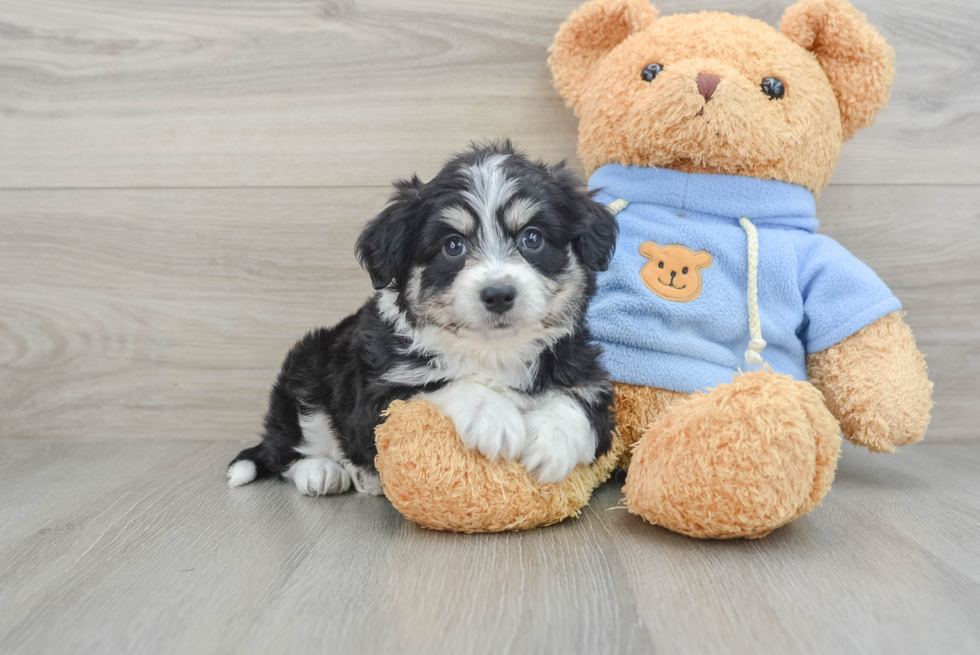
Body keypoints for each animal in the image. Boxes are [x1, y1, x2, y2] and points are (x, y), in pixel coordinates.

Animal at [226, 141, 616, 494]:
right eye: (453, 245)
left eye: (532, 238)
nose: (498, 294)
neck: (493, 352)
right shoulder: (379, 396)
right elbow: (437, 384)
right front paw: (492, 416)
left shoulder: (589, 378)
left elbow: (577, 403)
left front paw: (553, 441)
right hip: (306, 369)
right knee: (287, 450)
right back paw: (322, 472)